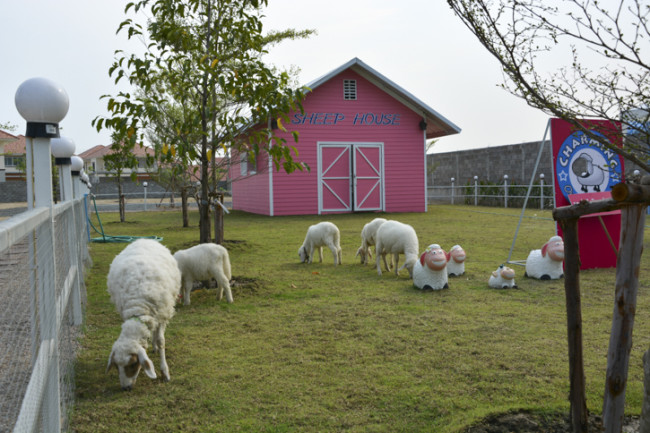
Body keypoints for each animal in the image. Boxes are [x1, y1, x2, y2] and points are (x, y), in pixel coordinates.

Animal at [105, 238, 180, 390]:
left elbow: (161, 341)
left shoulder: (162, 315)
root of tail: (144, 239)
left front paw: (165, 372)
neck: (138, 310)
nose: (126, 388)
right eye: (116, 366)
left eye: (133, 363)